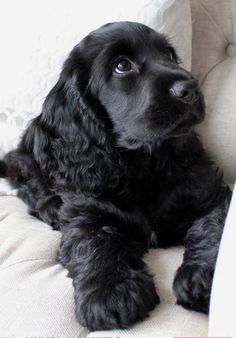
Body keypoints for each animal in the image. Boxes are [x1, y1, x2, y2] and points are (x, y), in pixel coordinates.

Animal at [0, 21, 231, 330]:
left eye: (169, 54)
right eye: (122, 65)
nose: (190, 89)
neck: (144, 163)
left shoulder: (211, 195)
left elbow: (212, 228)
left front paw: (203, 280)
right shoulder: (87, 212)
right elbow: (95, 242)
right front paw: (111, 292)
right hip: (25, 156)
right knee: (31, 188)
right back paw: (50, 208)